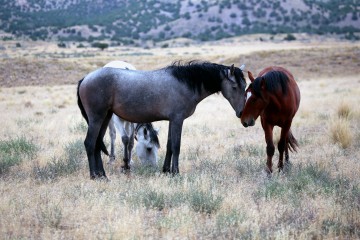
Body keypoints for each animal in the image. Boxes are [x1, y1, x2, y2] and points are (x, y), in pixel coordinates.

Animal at [78, 61, 248, 179]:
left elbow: (169, 146)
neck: (185, 83)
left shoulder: (172, 120)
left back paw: (102, 175)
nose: (241, 113)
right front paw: (176, 172)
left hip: (105, 117)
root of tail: (85, 78)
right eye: (234, 87)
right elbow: (176, 146)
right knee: (90, 143)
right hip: (97, 118)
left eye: (245, 85)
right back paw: (95, 176)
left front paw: (166, 170)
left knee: (97, 144)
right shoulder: (178, 119)